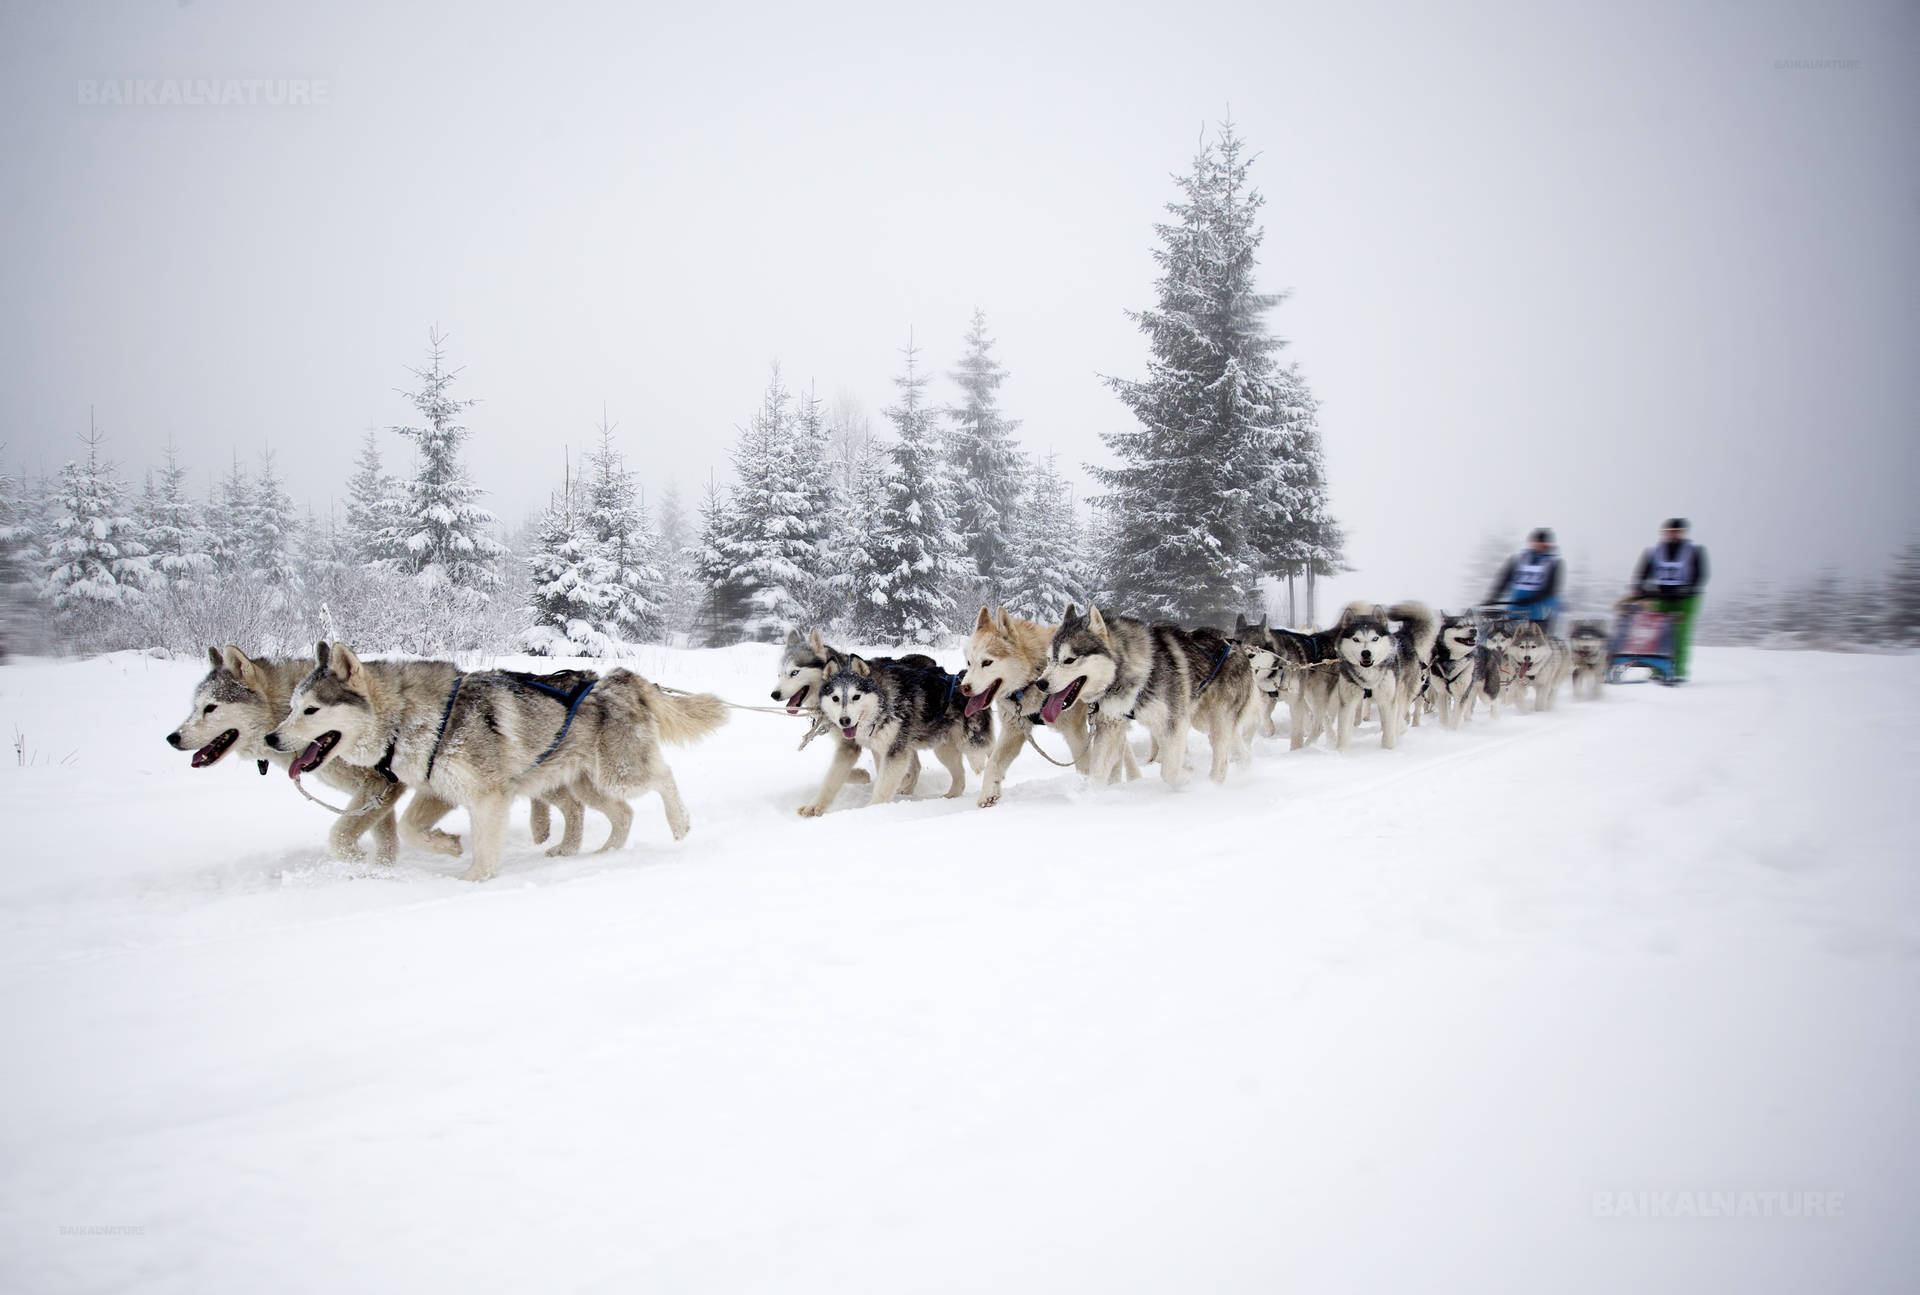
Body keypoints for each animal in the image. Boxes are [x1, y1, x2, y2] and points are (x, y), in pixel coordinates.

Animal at [266, 641, 721, 876]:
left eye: (311, 710)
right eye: (291, 707)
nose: (272, 737)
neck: (414, 718)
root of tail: (618, 678)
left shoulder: (488, 798)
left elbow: (485, 847)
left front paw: (475, 880)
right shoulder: (440, 789)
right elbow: (411, 828)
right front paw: (448, 846)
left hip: (618, 772)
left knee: (663, 775)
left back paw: (679, 823)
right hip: (583, 785)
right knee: (622, 813)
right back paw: (605, 854)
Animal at [960, 607, 1113, 806]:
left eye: (987, 662)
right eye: (969, 662)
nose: (964, 687)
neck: (1034, 676)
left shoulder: (1076, 733)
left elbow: (1084, 767)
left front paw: (1085, 793)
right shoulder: (1014, 729)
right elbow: (993, 762)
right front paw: (988, 793)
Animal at [1036, 607, 1259, 787]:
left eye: (1069, 660)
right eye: (1049, 659)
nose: (1041, 683)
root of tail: (1235, 645)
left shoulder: (1175, 722)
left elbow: (1169, 772)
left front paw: (1183, 781)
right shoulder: (1111, 725)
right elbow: (1097, 772)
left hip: (1215, 719)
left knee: (1221, 754)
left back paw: (1212, 785)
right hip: (1199, 720)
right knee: (1234, 743)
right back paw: (1245, 764)